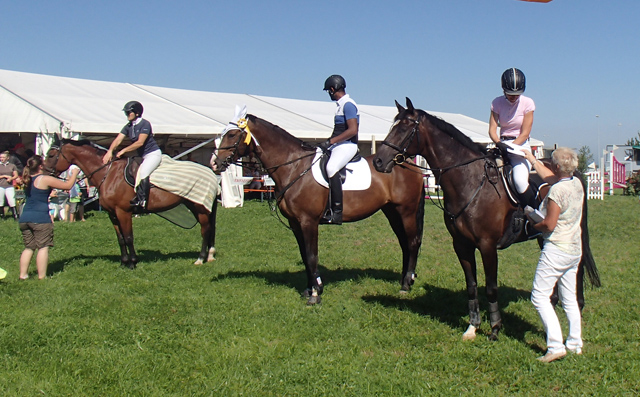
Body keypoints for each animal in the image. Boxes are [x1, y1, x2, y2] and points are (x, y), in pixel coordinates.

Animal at [44, 137, 218, 270]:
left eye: (51, 154)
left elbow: (128, 237)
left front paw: (133, 263)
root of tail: (210, 172)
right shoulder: (112, 214)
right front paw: (123, 262)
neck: (108, 173)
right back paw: (209, 256)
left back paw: (201, 258)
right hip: (194, 206)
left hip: (200, 208)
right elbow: (120, 239)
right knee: (208, 229)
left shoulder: (123, 212)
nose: (44, 173)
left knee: (205, 230)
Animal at [214, 113, 424, 304]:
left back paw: (406, 284)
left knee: (412, 242)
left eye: (232, 134)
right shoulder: (295, 223)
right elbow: (304, 255)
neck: (295, 167)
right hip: (392, 212)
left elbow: (312, 255)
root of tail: (408, 164)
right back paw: (404, 280)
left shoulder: (308, 221)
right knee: (404, 243)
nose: (215, 163)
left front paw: (315, 294)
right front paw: (309, 289)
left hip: (406, 211)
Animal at [372, 97, 596, 338]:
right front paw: (473, 326)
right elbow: (471, 285)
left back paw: (578, 304)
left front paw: (495, 328)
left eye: (405, 128)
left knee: (578, 264)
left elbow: (490, 287)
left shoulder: (487, 245)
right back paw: (553, 302)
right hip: (543, 235)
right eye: (392, 126)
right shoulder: (461, 245)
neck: (469, 182)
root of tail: (574, 173)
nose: (378, 161)